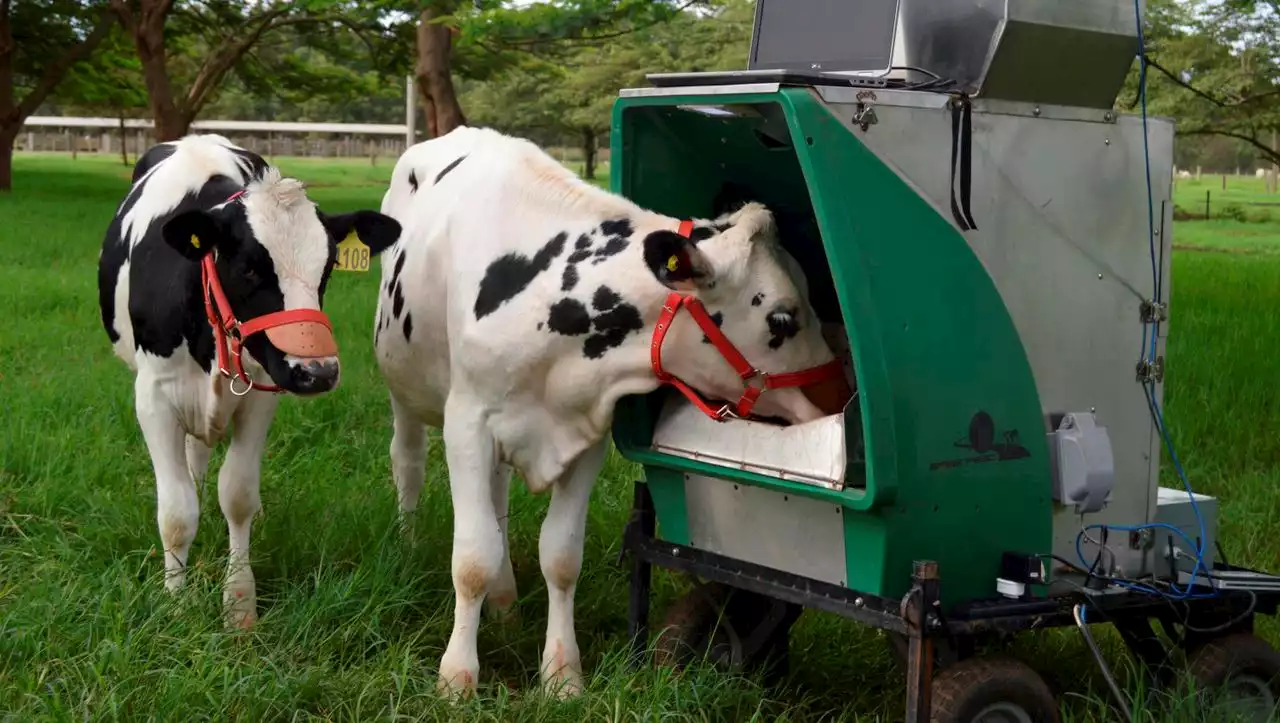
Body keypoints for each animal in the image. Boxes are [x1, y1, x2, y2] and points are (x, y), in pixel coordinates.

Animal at [97, 133, 399, 627]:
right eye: (250, 269)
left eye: (328, 268)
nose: (317, 372)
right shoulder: (154, 399)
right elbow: (176, 512)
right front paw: (176, 604)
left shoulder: (259, 396)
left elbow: (237, 495)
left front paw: (239, 605)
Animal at [371, 126, 849, 696]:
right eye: (782, 317)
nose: (840, 391)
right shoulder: (467, 424)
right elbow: (471, 560)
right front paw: (457, 680)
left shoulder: (587, 435)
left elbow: (560, 557)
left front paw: (561, 676)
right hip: (403, 386)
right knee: (407, 462)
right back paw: (407, 546)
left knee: (498, 498)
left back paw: (506, 603)